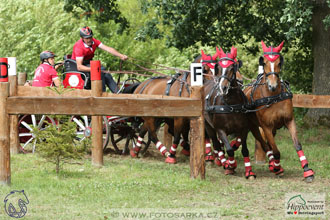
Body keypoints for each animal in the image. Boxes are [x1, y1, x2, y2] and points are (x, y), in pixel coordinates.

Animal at [204, 46, 270, 179]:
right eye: (218, 68)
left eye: (232, 68)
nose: (223, 87)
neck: (231, 104)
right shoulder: (220, 129)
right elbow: (228, 149)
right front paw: (231, 165)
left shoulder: (243, 128)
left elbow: (244, 149)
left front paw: (249, 172)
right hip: (209, 126)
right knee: (216, 144)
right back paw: (222, 162)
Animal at [245, 40, 314, 182]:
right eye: (264, 63)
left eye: (278, 63)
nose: (272, 86)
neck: (273, 96)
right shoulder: (266, 126)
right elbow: (275, 150)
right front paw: (277, 168)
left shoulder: (289, 120)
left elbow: (297, 145)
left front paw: (307, 170)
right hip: (254, 127)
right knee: (265, 145)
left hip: (273, 128)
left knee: (267, 145)